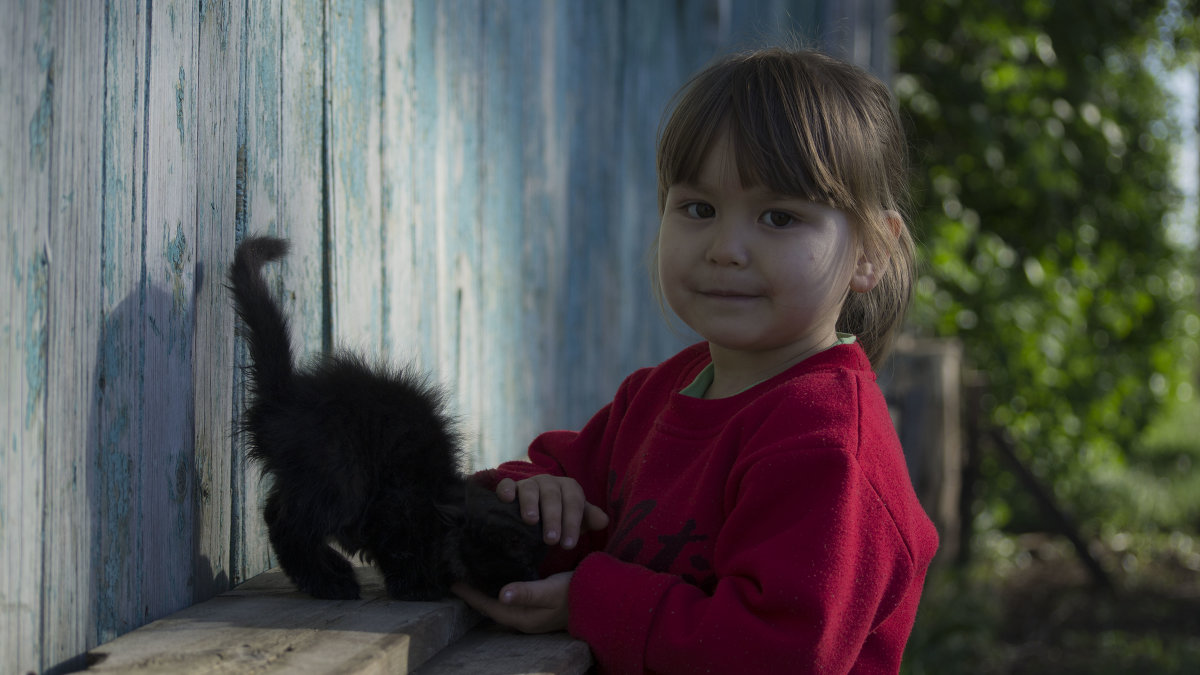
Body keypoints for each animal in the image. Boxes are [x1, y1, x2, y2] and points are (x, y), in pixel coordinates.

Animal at [228, 235, 544, 598]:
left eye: (534, 559)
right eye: (509, 551)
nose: (531, 575)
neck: (436, 493)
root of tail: (287, 396)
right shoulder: (396, 505)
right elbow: (401, 549)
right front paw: (419, 584)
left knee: (277, 513)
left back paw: (332, 570)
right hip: (340, 475)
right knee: (288, 525)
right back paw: (331, 584)